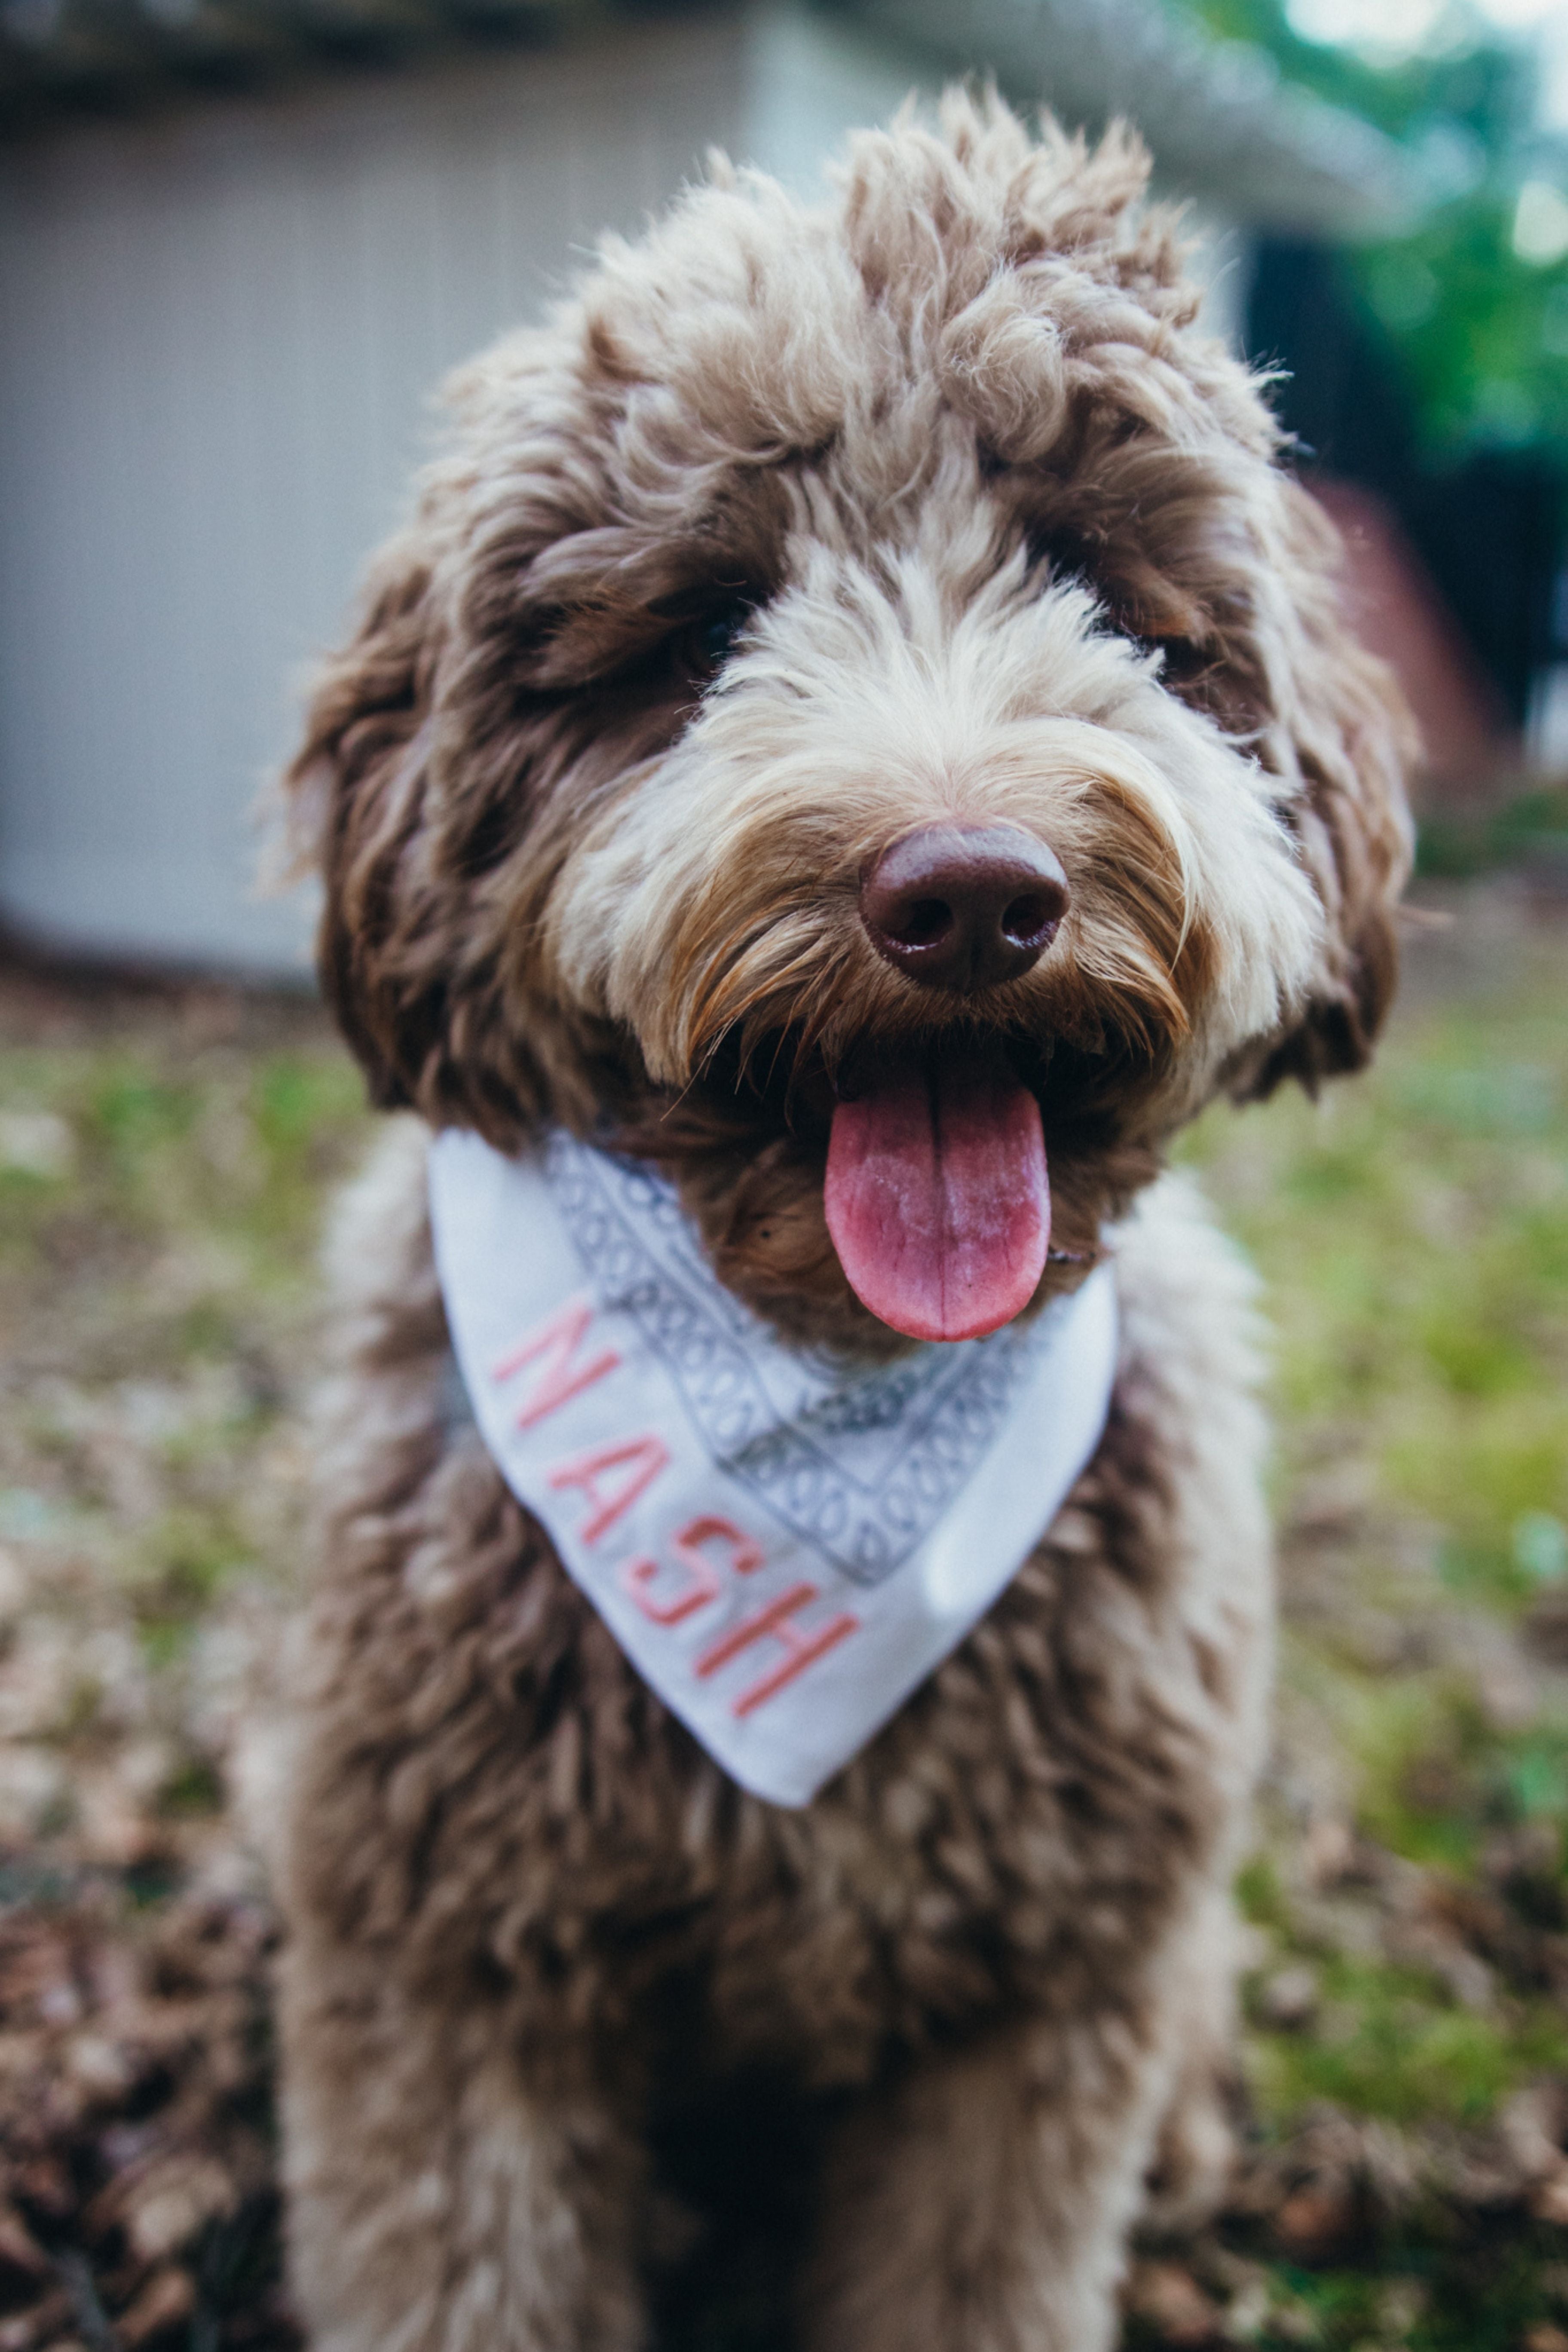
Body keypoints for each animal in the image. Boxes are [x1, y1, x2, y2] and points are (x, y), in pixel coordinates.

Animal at [276, 92, 1420, 2352]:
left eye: (1098, 587)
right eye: (708, 624)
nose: (968, 892)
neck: (820, 1382)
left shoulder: (1044, 2002)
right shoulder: (451, 1973)